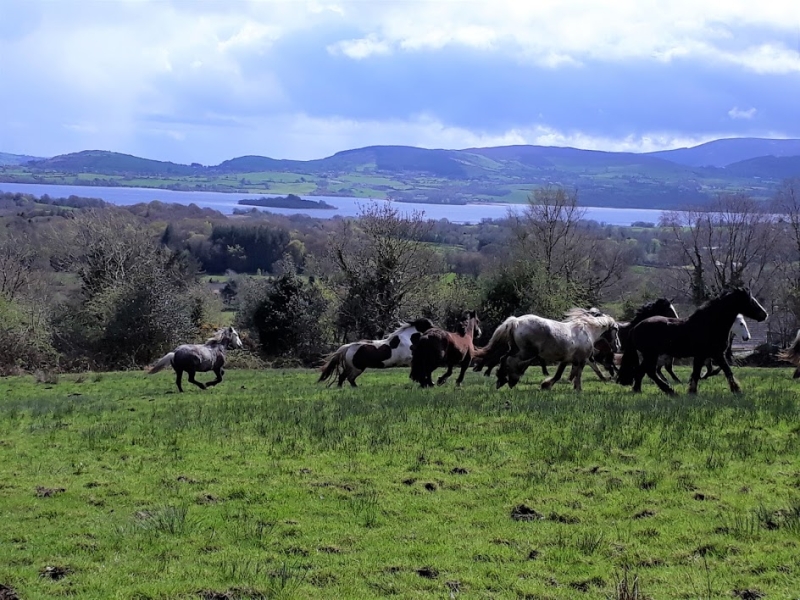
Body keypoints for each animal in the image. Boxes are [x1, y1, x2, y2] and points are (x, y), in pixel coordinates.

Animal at [478, 308, 620, 392]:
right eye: (616, 330)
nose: (618, 346)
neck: (587, 331)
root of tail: (516, 321)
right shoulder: (582, 360)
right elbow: (576, 373)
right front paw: (577, 389)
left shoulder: (568, 359)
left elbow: (564, 374)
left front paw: (549, 385)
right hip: (526, 352)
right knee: (510, 361)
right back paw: (509, 380)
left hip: (517, 349)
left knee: (505, 359)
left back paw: (502, 380)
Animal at [616, 288, 764, 396]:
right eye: (751, 301)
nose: (765, 314)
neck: (709, 324)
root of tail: (635, 327)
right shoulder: (714, 354)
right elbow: (723, 370)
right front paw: (737, 390)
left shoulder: (708, 355)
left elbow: (703, 372)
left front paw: (692, 391)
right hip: (651, 354)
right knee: (649, 371)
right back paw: (670, 391)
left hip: (651, 355)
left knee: (644, 370)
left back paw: (639, 389)